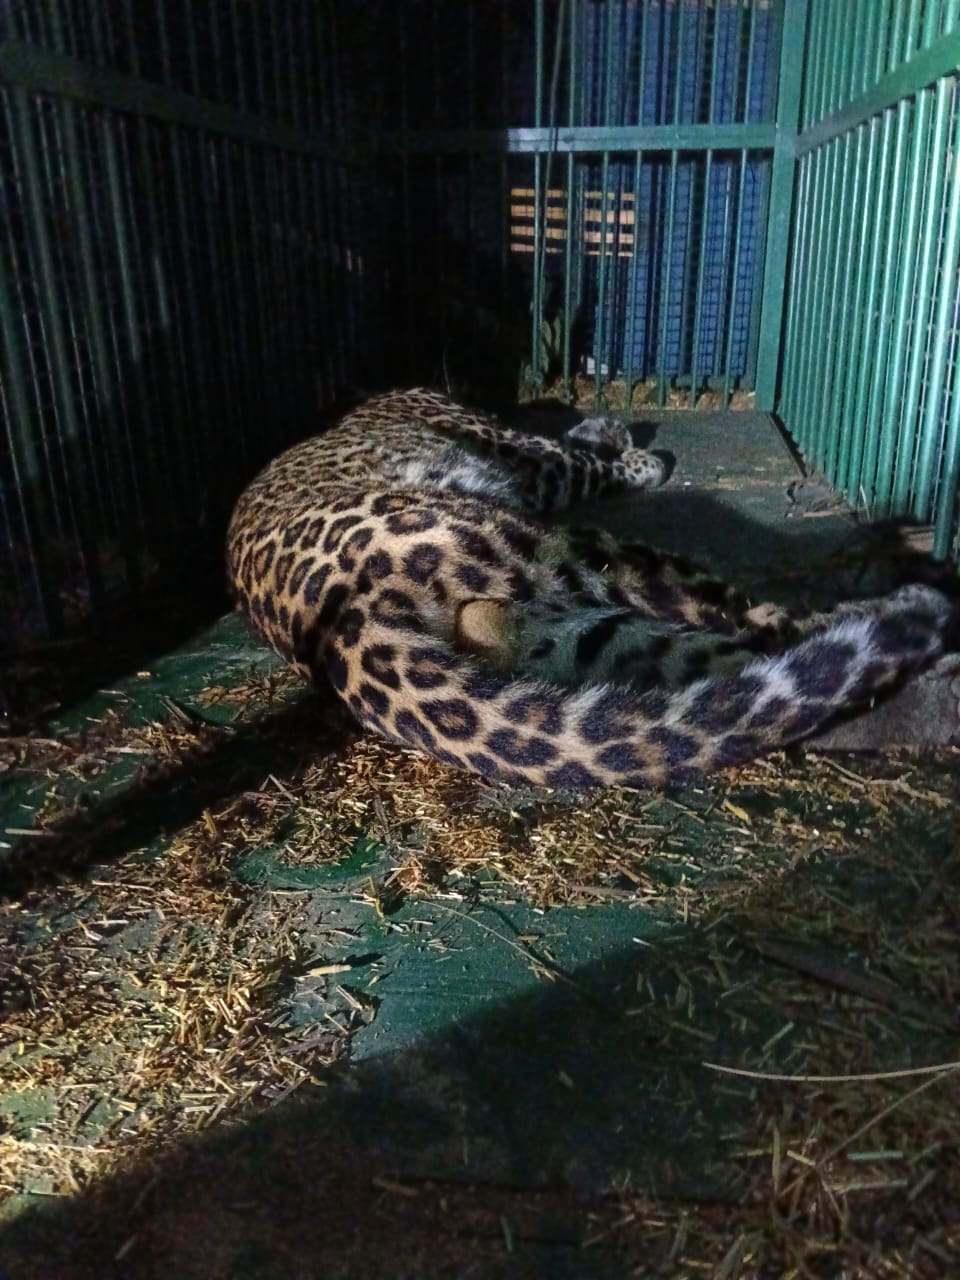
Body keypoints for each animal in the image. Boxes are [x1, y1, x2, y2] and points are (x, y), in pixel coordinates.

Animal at [226, 387, 957, 790]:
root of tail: (346, 630)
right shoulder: (530, 460)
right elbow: (581, 458)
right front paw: (632, 451)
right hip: (569, 549)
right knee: (762, 623)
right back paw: (914, 614)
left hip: (574, 635)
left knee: (749, 676)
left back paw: (931, 687)